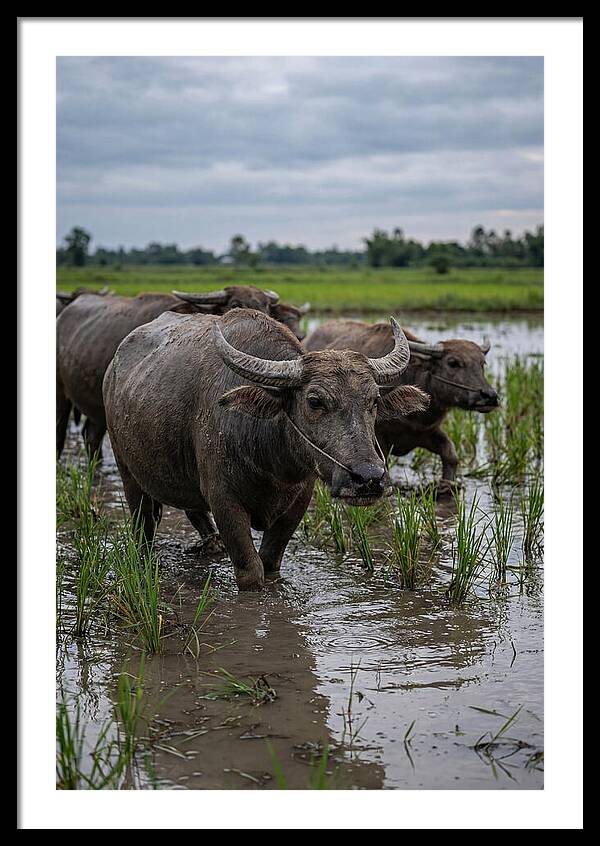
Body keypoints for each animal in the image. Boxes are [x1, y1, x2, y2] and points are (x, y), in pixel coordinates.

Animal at [103, 309, 429, 590]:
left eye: (373, 400)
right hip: (127, 471)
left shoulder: (298, 502)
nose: (368, 478)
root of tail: (113, 369)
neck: (272, 461)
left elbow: (270, 563)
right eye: (314, 401)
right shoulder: (224, 501)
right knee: (143, 526)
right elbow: (251, 572)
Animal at [305, 319, 499, 484]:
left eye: (482, 363)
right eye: (453, 362)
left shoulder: (426, 432)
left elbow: (451, 455)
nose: (490, 396)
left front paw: (447, 485)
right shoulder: (378, 439)